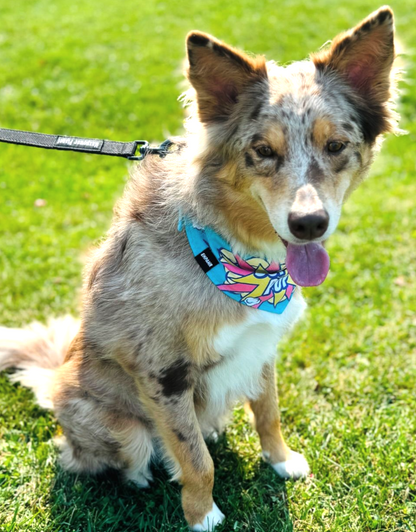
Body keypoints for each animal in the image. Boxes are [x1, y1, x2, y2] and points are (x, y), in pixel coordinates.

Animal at [0, 6, 400, 528]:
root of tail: (53, 381)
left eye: (335, 146)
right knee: (112, 456)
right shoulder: (164, 372)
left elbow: (268, 411)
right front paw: (203, 514)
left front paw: (281, 460)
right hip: (117, 425)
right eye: (263, 151)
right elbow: (194, 458)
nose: (309, 223)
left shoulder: (261, 345)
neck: (237, 256)